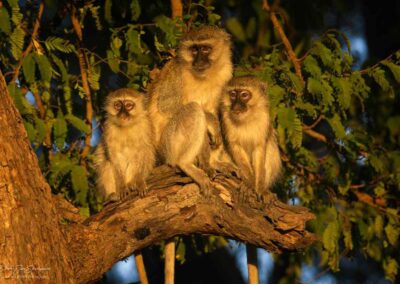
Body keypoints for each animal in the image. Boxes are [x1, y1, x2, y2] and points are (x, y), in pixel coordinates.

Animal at [148, 26, 233, 284]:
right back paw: (188, 164)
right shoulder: (176, 74)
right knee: (194, 110)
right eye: (193, 50)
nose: (199, 60)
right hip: (169, 144)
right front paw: (209, 122)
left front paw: (210, 157)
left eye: (205, 48)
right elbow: (167, 105)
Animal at [220, 75, 282, 284]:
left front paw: (260, 188)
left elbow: (260, 148)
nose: (236, 105)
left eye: (245, 95)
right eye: (233, 94)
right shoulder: (226, 120)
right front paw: (247, 182)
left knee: (271, 145)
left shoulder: (264, 120)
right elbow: (235, 147)